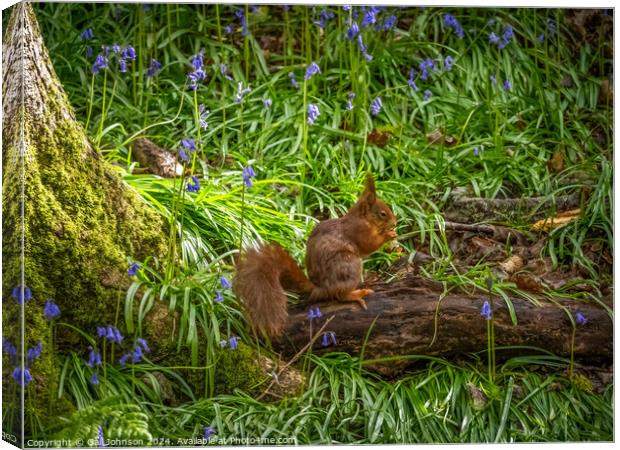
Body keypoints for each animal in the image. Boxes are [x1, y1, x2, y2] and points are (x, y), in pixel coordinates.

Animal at [232, 174, 398, 340]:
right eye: (383, 214)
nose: (395, 223)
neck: (363, 218)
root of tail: (319, 288)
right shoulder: (359, 231)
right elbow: (368, 244)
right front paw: (389, 235)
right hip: (350, 264)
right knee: (340, 295)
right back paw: (356, 294)